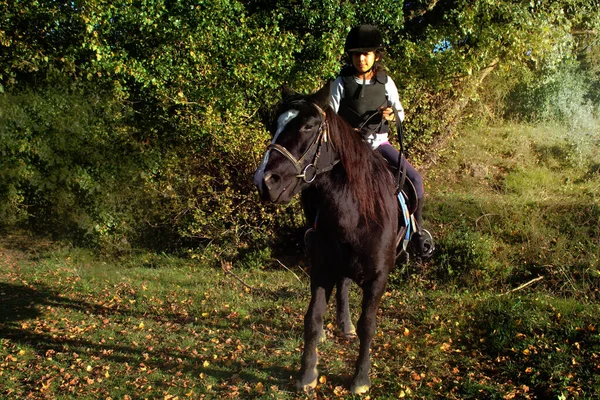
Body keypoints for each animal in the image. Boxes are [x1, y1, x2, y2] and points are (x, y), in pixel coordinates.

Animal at [253, 80, 398, 394]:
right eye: (275, 124)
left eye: (309, 125)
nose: (264, 181)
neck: (357, 213)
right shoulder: (320, 269)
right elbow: (313, 318)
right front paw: (307, 374)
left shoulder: (378, 277)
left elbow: (369, 325)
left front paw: (360, 379)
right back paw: (344, 326)